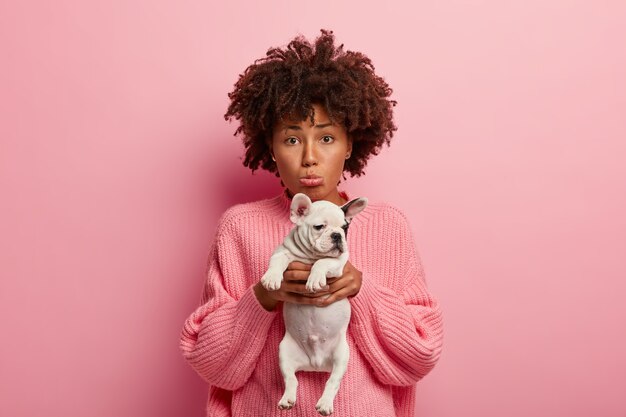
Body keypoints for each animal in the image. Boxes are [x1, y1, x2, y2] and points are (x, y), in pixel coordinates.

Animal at [258, 192, 366, 412]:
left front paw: (315, 278)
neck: (310, 256)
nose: (337, 236)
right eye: (319, 227)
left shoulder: (339, 263)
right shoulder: (282, 252)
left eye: (345, 228)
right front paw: (272, 278)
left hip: (342, 355)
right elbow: (277, 261)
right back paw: (287, 399)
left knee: (332, 382)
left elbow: (323, 262)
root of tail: (316, 364)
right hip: (284, 353)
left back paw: (324, 404)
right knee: (291, 379)